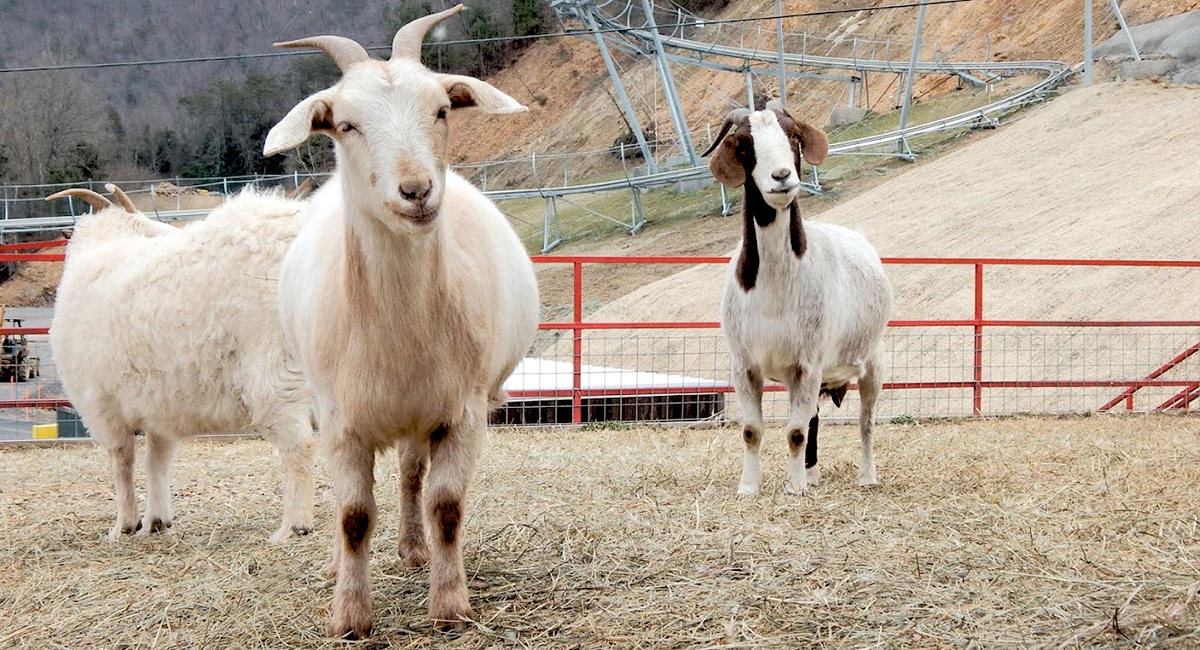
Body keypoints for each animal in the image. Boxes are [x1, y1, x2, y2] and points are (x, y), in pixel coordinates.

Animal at [47, 184, 315, 543]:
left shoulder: (101, 405)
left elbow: (122, 460)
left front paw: (124, 525)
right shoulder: (158, 410)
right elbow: (157, 461)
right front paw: (156, 520)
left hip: (274, 371)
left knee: (298, 444)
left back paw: (293, 526)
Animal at [262, 4, 539, 638]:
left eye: (441, 110)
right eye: (346, 125)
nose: (416, 190)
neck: (396, 331)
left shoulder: (461, 411)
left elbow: (446, 506)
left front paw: (450, 604)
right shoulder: (339, 421)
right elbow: (352, 516)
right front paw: (350, 615)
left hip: (422, 414)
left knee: (413, 477)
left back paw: (415, 549)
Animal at [702, 101, 893, 496]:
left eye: (793, 136)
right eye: (743, 144)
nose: (781, 177)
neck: (775, 287)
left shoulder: (807, 361)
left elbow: (793, 431)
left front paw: (794, 488)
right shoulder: (745, 365)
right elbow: (752, 430)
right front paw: (749, 488)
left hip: (872, 359)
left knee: (866, 422)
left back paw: (867, 476)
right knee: (814, 421)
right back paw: (813, 474)